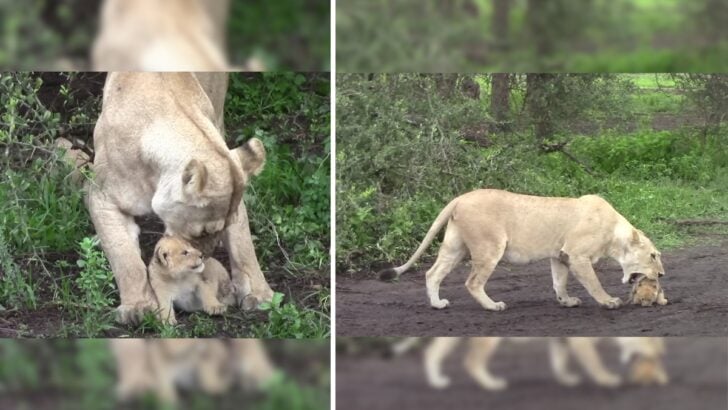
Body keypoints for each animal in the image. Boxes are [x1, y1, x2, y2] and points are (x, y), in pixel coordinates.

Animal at [87, 72, 274, 324]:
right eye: (200, 233)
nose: (205, 256)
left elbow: (243, 244)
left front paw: (260, 294)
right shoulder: (102, 197)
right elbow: (125, 258)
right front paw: (138, 307)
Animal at [378, 189, 665, 310]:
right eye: (653, 255)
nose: (662, 275)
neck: (615, 234)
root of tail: (460, 198)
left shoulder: (560, 256)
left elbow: (559, 282)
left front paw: (566, 301)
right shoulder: (578, 255)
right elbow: (594, 283)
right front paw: (608, 302)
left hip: (454, 247)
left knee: (432, 273)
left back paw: (437, 304)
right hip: (489, 246)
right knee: (472, 282)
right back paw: (493, 306)